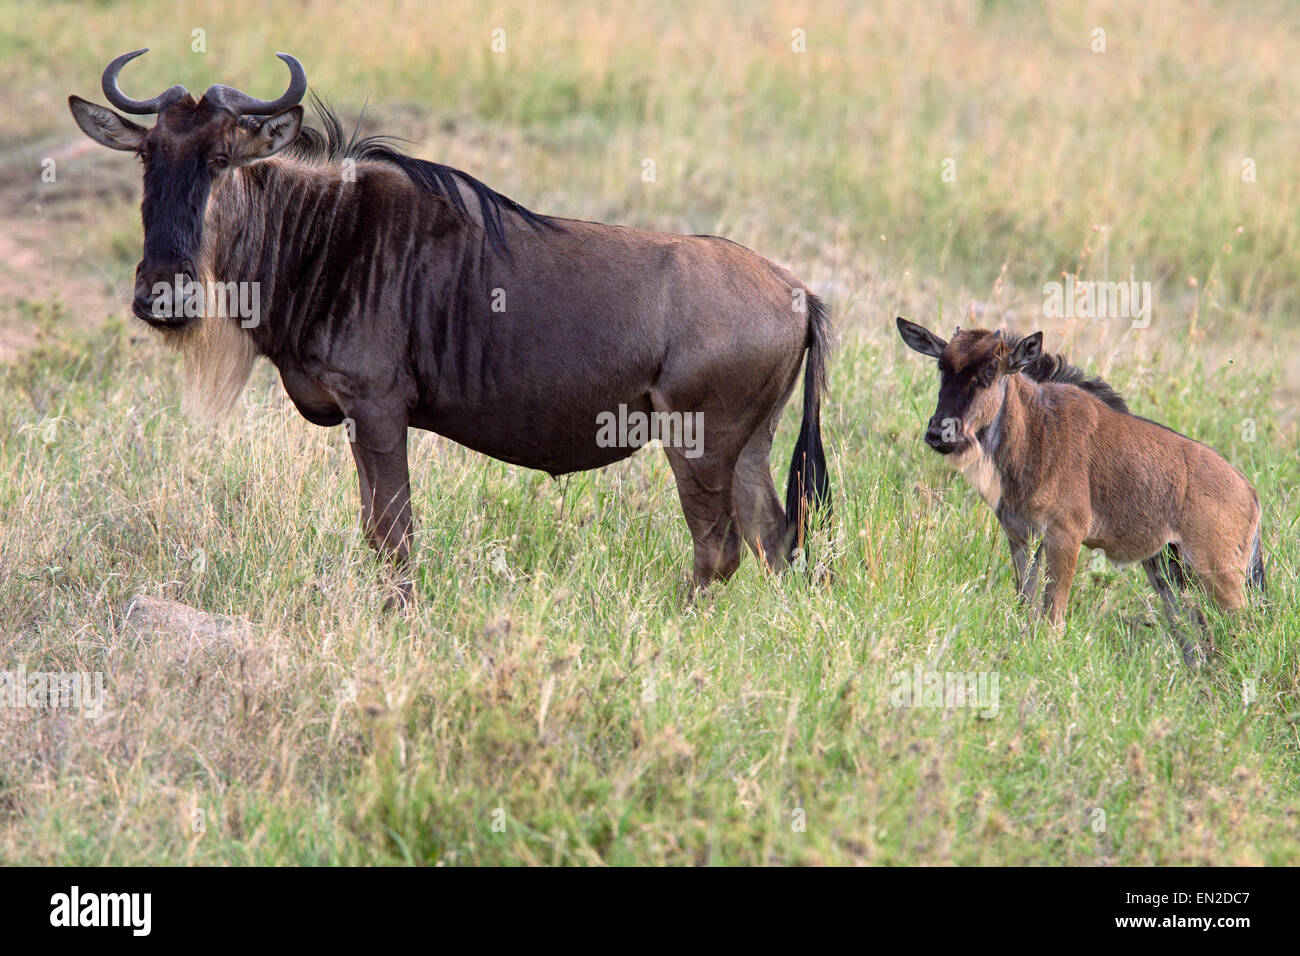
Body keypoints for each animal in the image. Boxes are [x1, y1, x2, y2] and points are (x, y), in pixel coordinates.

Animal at [899, 317, 1263, 660]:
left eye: (990, 371)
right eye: (942, 366)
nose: (939, 433)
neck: (1035, 432)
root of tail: (1250, 493)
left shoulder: (1065, 538)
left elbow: (1053, 620)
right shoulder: (1021, 538)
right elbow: (1026, 609)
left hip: (1218, 574)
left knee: (1244, 630)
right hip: (1168, 568)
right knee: (1196, 639)